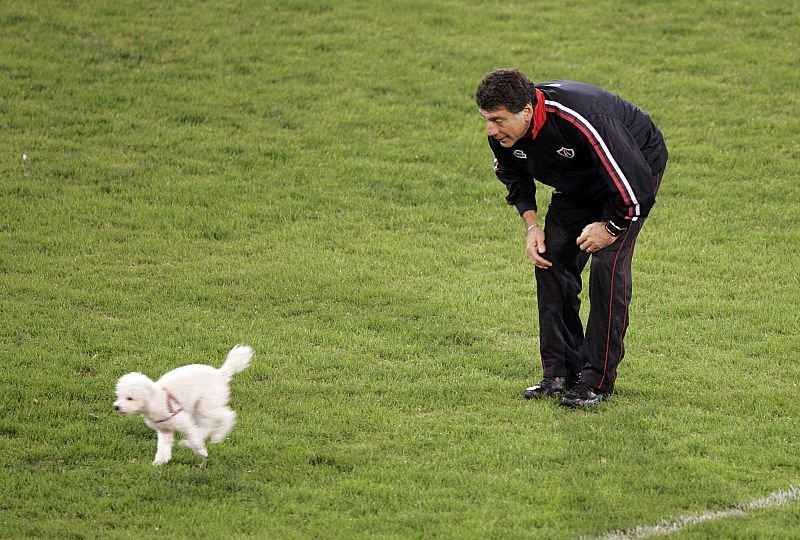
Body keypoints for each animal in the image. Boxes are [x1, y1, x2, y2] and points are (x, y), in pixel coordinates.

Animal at [113, 346, 253, 464]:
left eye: (130, 398)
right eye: (118, 396)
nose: (116, 407)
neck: (155, 398)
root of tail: (220, 373)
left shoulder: (182, 420)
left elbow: (193, 435)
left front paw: (201, 451)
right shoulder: (165, 430)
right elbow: (163, 447)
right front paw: (160, 462)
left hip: (207, 403)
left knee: (226, 416)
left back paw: (215, 437)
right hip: (201, 407)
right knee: (207, 425)